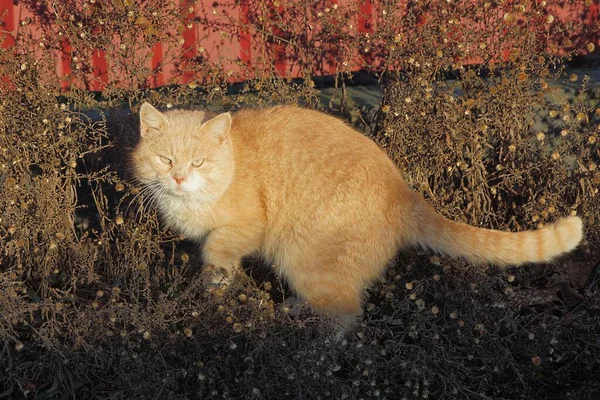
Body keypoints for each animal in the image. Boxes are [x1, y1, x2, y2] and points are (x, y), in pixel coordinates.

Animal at [131, 102, 580, 322]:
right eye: (166, 160)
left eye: (199, 163)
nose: (178, 179)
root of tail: (403, 193)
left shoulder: (245, 228)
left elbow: (215, 252)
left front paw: (215, 283)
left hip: (303, 258)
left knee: (346, 314)